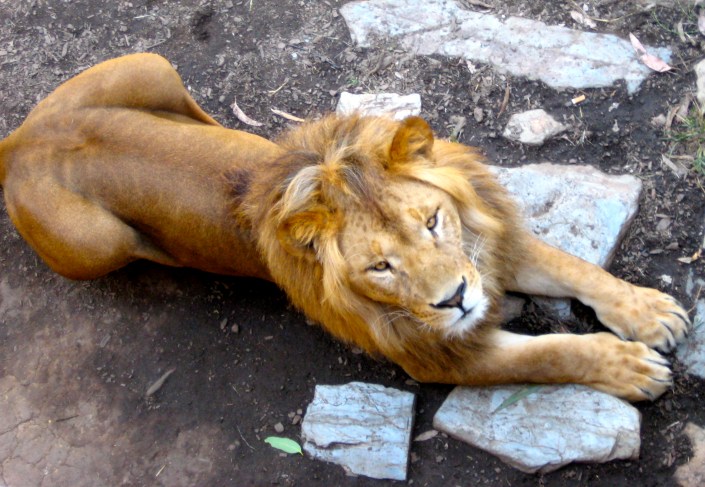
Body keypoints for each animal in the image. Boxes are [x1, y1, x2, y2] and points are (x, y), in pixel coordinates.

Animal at [0, 53, 690, 401]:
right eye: (379, 267)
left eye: (432, 221)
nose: (456, 299)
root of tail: (18, 143)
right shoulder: (432, 356)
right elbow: (548, 353)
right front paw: (630, 369)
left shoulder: (485, 246)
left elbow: (576, 268)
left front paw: (650, 311)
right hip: (98, 243)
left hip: (152, 66)